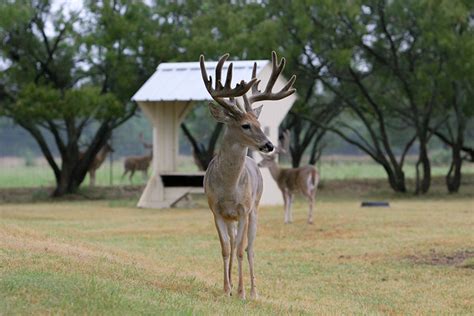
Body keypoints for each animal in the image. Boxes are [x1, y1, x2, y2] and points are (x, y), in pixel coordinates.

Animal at [200, 51, 296, 298]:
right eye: (245, 125)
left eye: (259, 123)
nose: (269, 145)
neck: (229, 188)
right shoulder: (215, 210)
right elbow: (225, 249)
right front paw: (226, 289)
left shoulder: (244, 208)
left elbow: (242, 251)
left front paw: (242, 292)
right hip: (231, 218)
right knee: (234, 243)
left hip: (255, 209)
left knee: (249, 247)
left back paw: (253, 291)